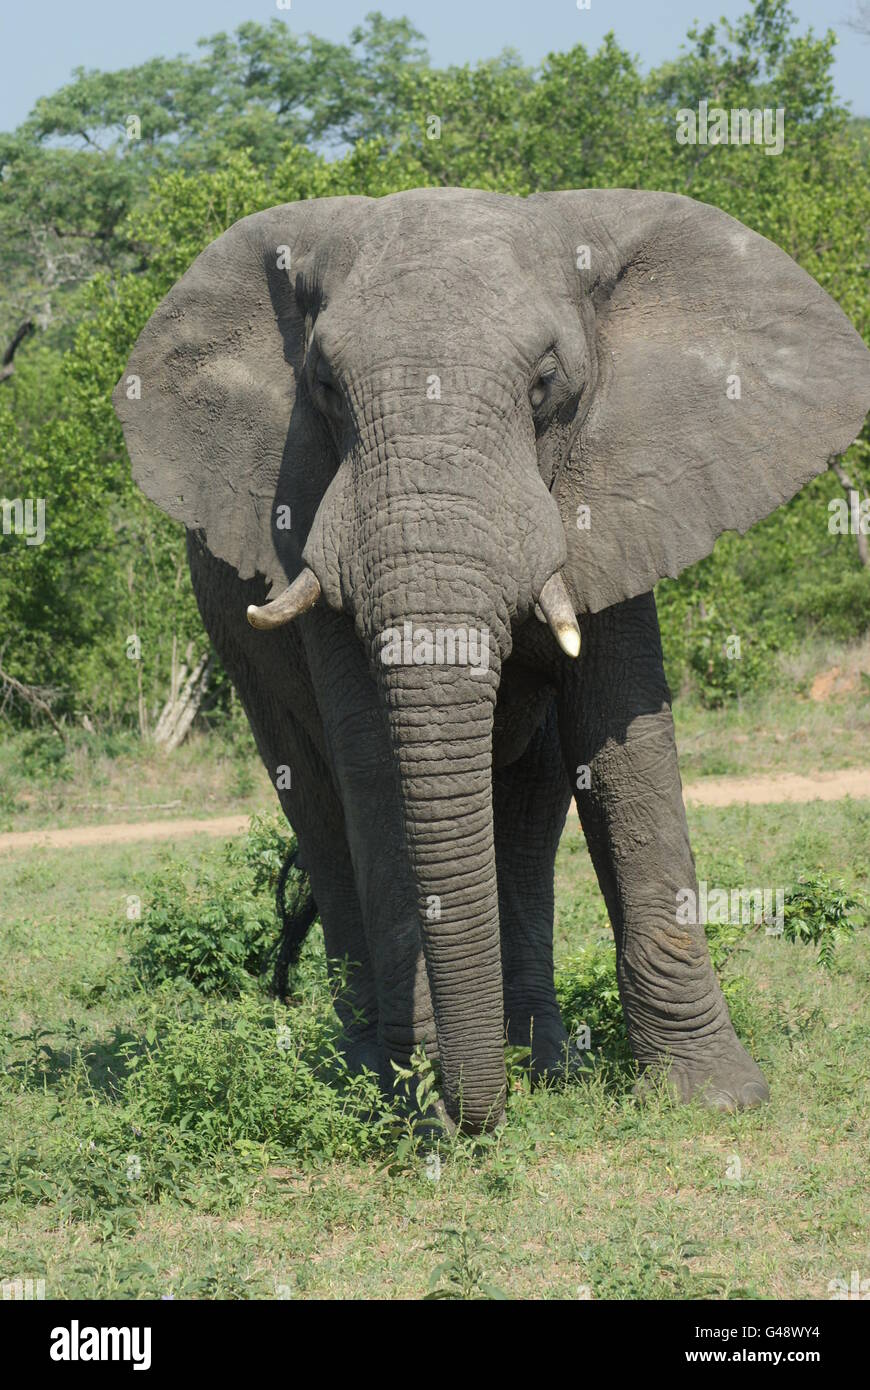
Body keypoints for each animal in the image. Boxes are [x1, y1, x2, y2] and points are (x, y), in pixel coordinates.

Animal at [113, 190, 867, 1134]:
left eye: (546, 385)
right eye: (324, 387)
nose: (458, 1111)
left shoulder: (620, 497)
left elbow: (626, 752)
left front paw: (716, 1099)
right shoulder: (308, 515)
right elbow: (372, 769)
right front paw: (414, 1104)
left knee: (531, 801)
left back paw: (539, 1064)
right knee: (316, 801)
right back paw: (374, 1072)